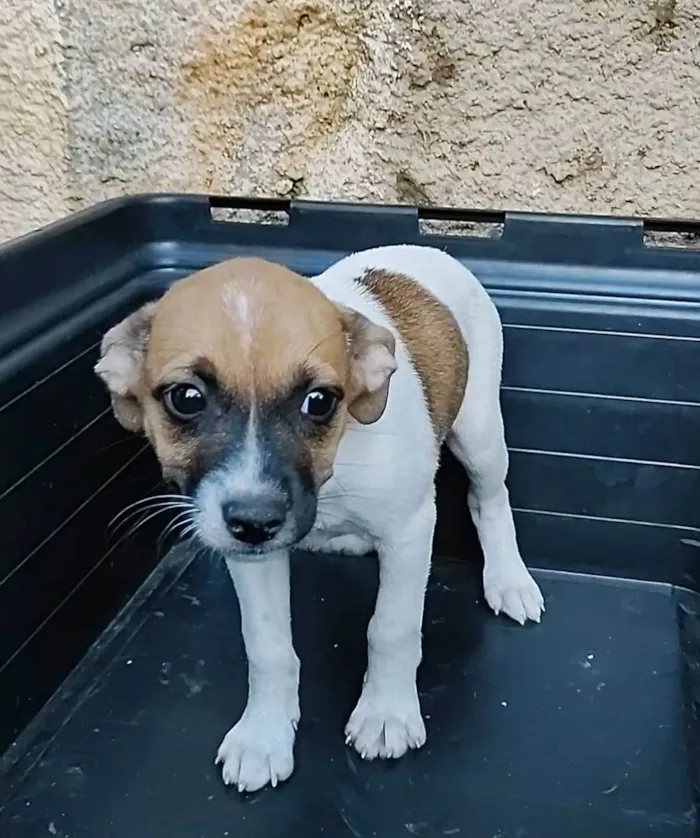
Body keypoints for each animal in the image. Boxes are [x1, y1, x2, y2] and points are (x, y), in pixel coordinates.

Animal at [94, 243, 540, 796]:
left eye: (320, 401)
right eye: (186, 398)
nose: (256, 521)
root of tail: (427, 248)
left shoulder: (411, 531)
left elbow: (391, 627)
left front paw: (387, 712)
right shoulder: (250, 555)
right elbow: (267, 647)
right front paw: (264, 734)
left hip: (480, 434)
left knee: (491, 499)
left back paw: (509, 580)